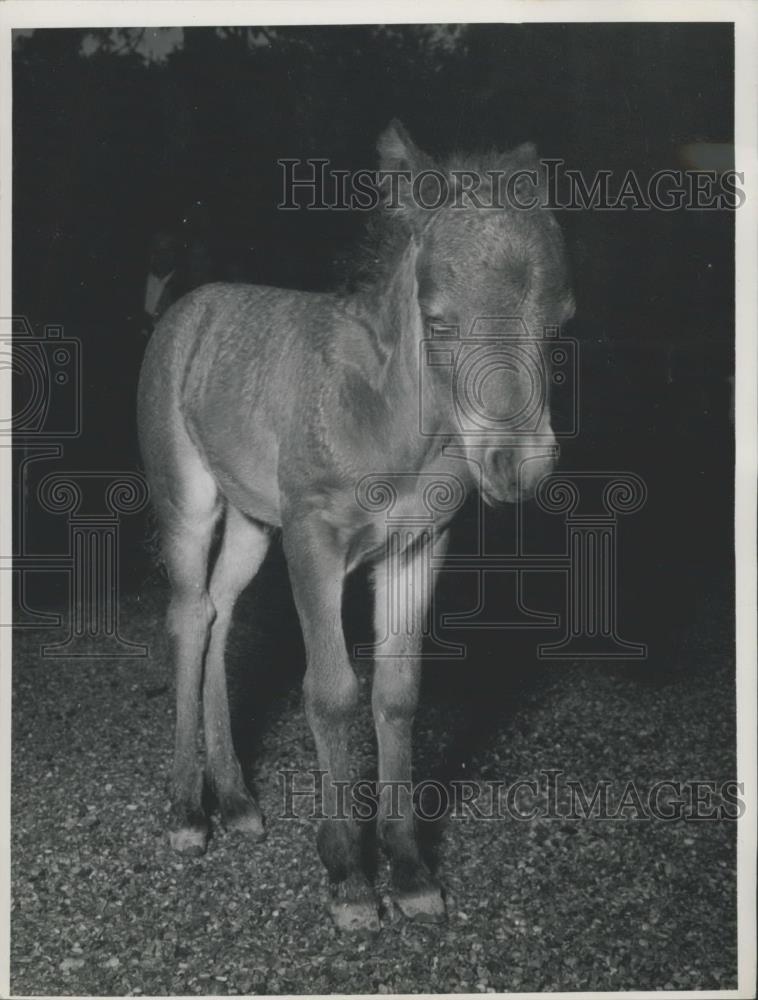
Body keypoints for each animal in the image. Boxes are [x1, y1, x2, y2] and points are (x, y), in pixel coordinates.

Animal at [137, 120, 575, 931]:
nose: (518, 467)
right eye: (439, 320)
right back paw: (187, 811)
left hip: (254, 522)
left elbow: (397, 694)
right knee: (186, 614)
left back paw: (235, 798)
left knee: (219, 611)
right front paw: (347, 876)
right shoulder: (315, 541)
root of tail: (188, 306)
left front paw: (408, 872)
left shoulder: (418, 547)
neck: (399, 427)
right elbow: (332, 691)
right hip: (189, 500)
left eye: (560, 326)